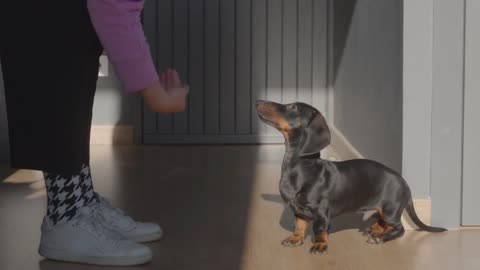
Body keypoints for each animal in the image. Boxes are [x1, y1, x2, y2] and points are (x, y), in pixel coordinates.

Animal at [255, 100, 446, 254]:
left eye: (292, 107)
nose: (258, 101)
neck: (301, 167)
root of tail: (405, 184)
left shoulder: (322, 212)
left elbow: (320, 229)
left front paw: (320, 245)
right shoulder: (298, 210)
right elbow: (299, 225)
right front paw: (295, 239)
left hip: (390, 209)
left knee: (399, 228)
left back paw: (380, 237)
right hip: (381, 210)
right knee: (383, 222)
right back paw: (375, 229)